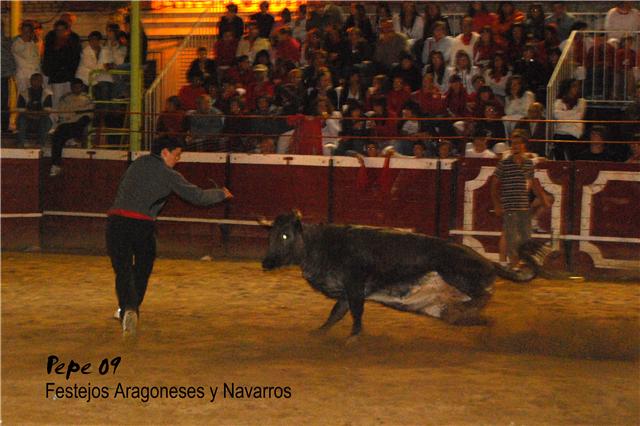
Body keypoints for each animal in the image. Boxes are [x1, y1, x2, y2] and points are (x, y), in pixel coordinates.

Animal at [260, 211, 544, 338]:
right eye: (271, 235)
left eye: (284, 235)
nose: (266, 262)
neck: (320, 244)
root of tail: (487, 261)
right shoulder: (346, 291)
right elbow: (335, 314)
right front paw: (318, 333)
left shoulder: (355, 286)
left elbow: (355, 313)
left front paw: (354, 337)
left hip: (459, 277)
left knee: (478, 297)